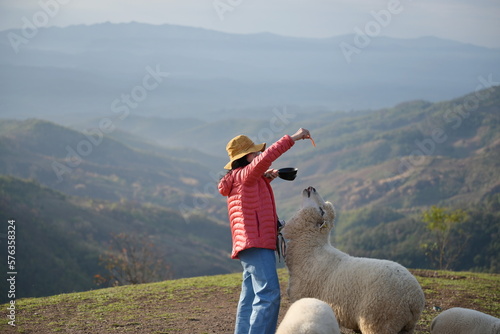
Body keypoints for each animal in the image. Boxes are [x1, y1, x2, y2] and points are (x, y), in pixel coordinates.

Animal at [282, 187, 426, 332]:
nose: (312, 188)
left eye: (321, 210)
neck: (311, 249)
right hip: (405, 328)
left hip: (380, 320)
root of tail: (414, 300)